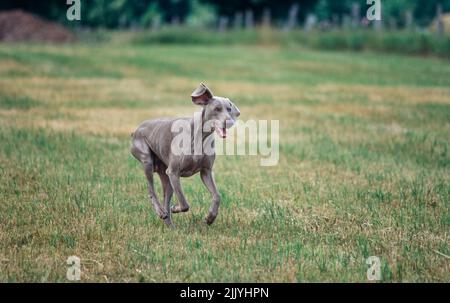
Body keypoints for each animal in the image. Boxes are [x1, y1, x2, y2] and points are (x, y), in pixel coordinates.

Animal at [130, 83, 241, 228]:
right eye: (217, 109)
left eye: (229, 109)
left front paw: (210, 218)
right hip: (146, 159)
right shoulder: (173, 172)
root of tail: (136, 129)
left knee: (166, 197)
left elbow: (217, 196)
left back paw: (170, 226)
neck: (201, 137)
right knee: (151, 189)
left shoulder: (206, 171)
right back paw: (161, 212)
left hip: (165, 175)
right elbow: (184, 203)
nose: (229, 122)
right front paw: (175, 208)